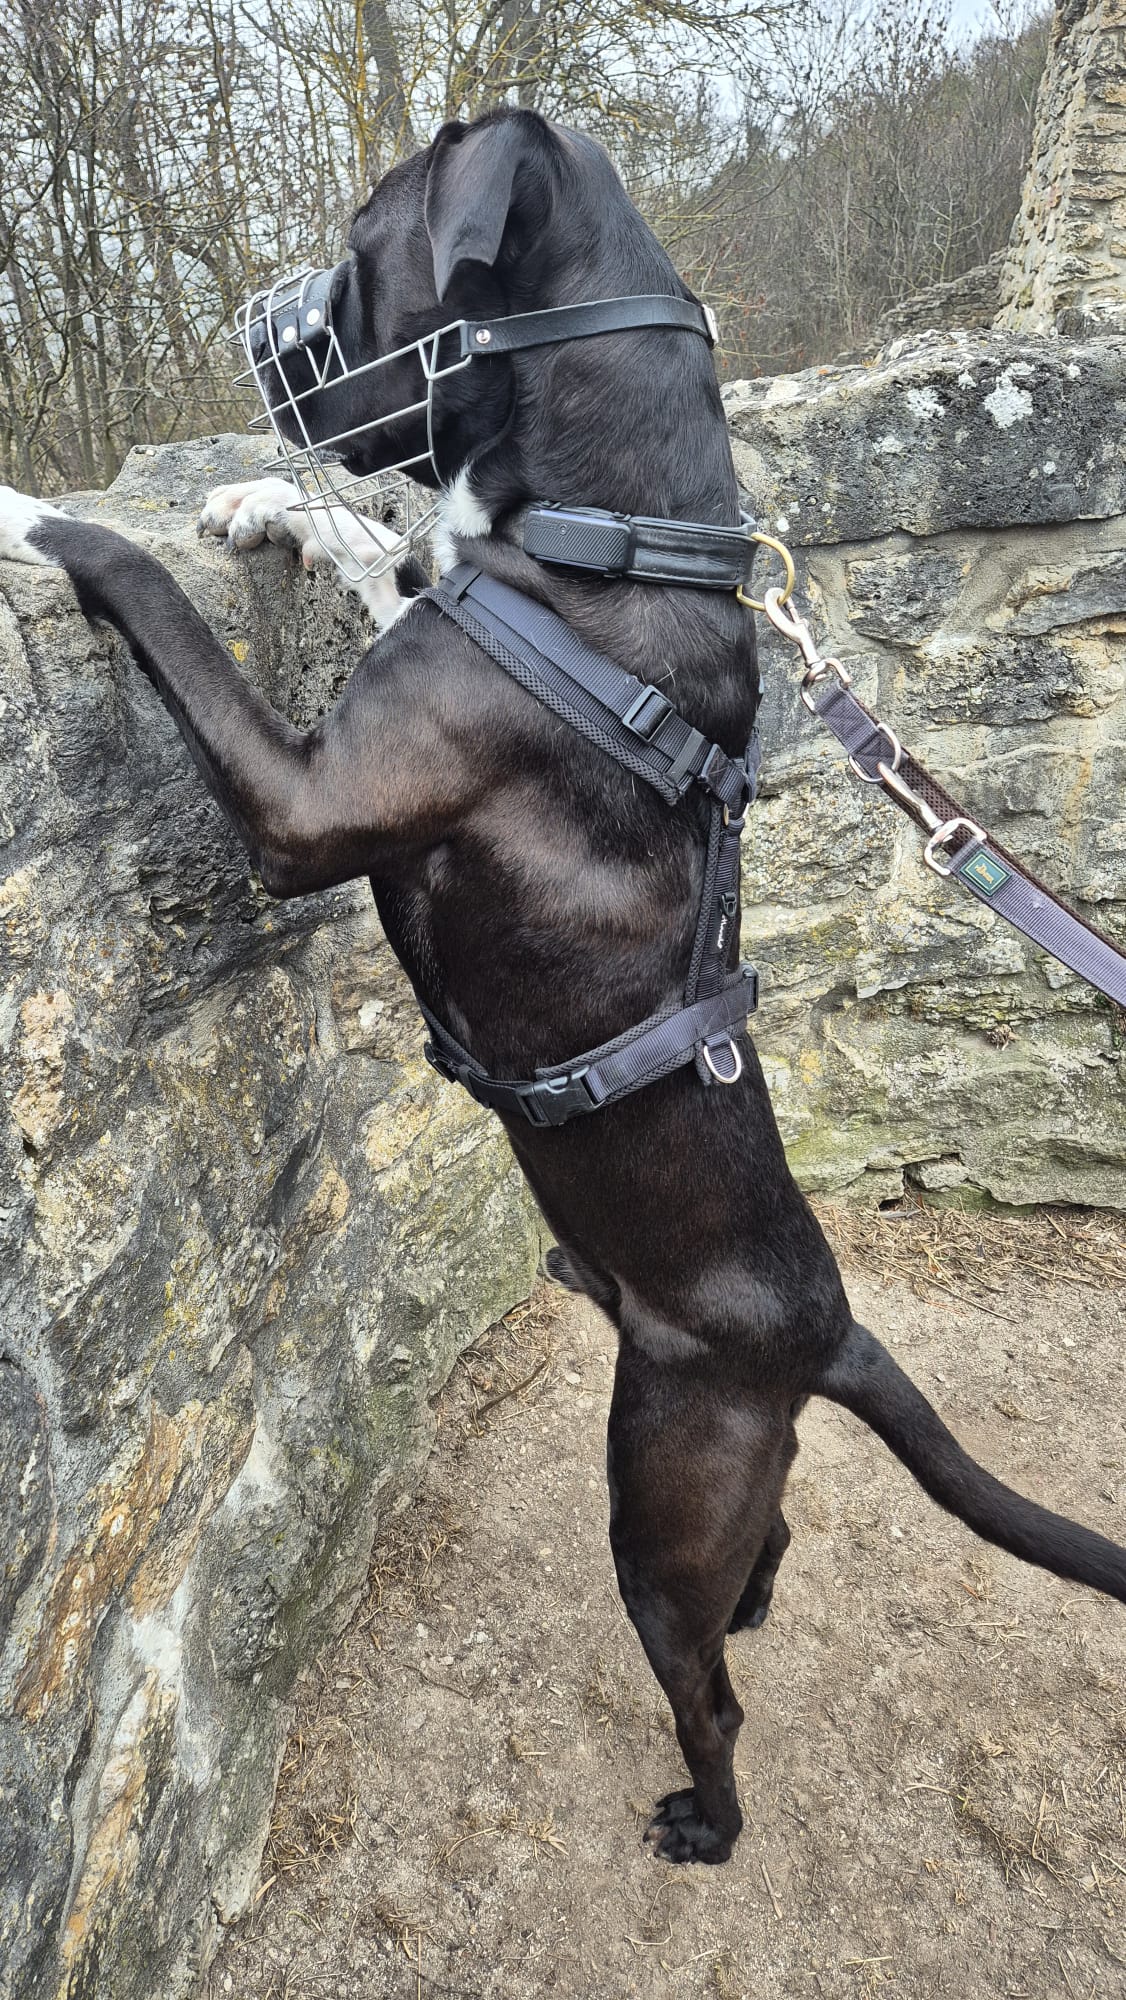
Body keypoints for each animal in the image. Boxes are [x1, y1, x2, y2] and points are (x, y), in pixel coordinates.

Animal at [2, 107, 1123, 1868]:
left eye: (358, 240)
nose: (261, 346)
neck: (604, 547)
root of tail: (826, 1328)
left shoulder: (304, 806)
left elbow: (145, 582)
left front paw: (27, 511)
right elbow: (381, 551)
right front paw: (270, 504)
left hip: (655, 1496)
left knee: (707, 1691)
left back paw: (705, 1824)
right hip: (713, 1477)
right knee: (767, 1557)